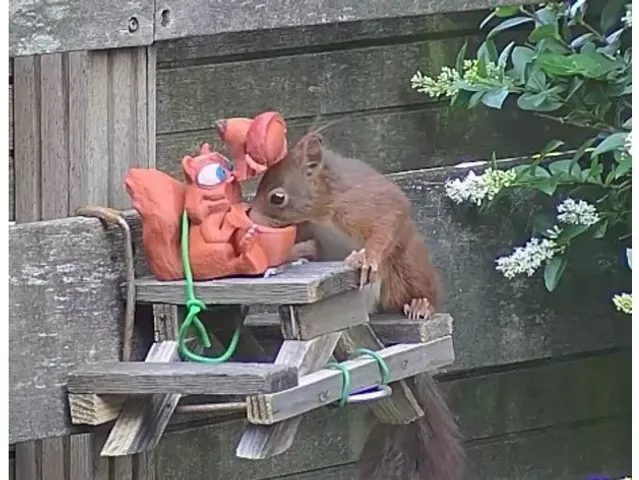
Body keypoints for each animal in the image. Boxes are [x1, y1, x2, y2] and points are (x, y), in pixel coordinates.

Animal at [250, 132, 464, 480]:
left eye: (277, 197)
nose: (249, 216)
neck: (323, 209)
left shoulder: (367, 204)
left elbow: (384, 223)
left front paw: (365, 258)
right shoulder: (311, 233)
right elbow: (301, 245)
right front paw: (279, 263)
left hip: (407, 264)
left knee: (418, 287)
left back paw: (420, 305)